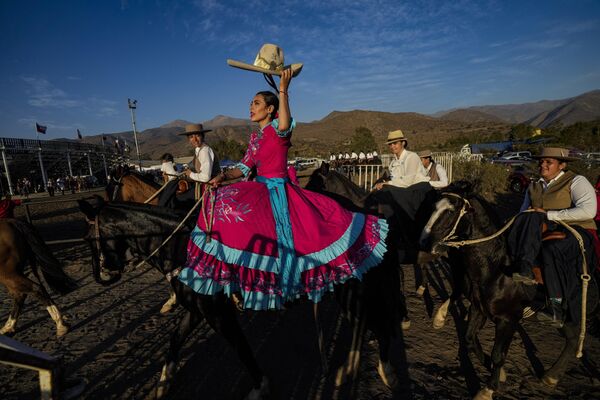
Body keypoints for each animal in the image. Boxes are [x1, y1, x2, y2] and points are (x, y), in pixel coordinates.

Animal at [77, 196, 404, 396]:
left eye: (89, 237)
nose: (101, 275)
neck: (183, 248)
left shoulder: (219, 314)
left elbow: (241, 348)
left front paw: (260, 386)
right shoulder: (197, 310)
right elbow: (175, 339)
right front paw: (164, 381)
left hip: (352, 295)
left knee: (373, 326)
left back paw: (372, 372)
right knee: (373, 326)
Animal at [420, 184, 596, 400]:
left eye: (451, 211)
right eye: (434, 206)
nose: (424, 241)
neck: (495, 267)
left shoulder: (508, 320)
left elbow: (498, 354)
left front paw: (488, 389)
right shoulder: (478, 309)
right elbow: (470, 341)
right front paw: (499, 373)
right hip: (566, 317)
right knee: (572, 339)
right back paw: (552, 376)